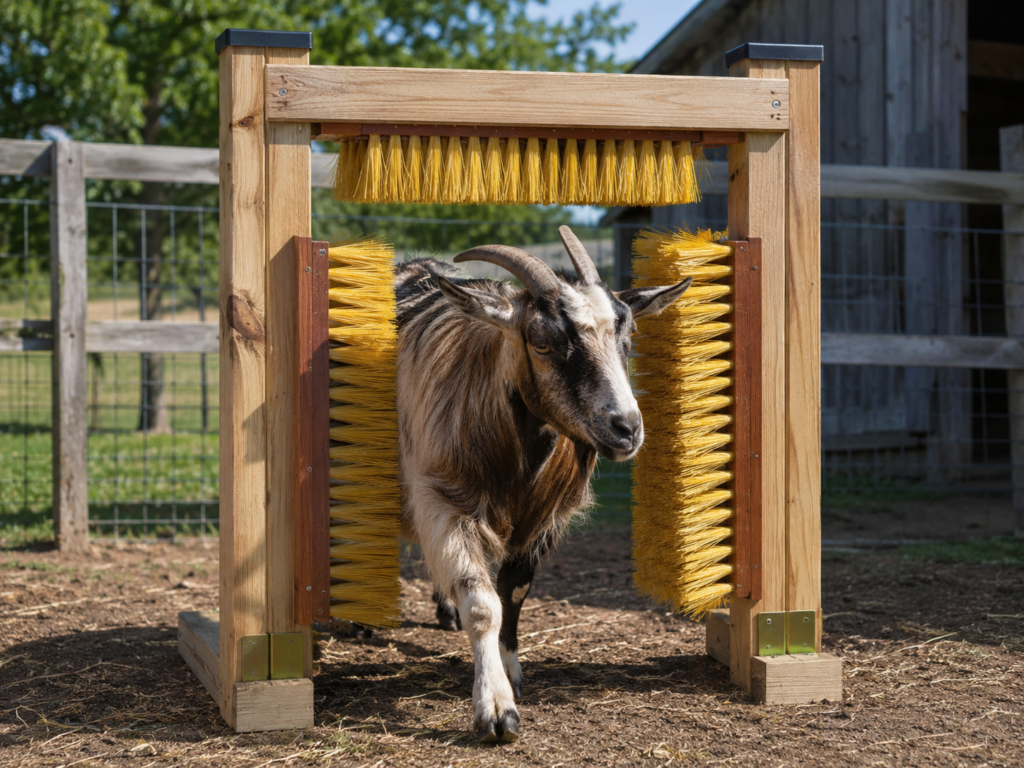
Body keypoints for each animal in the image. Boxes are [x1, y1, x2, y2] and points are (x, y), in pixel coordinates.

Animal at [395, 226, 691, 742]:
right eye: (541, 342)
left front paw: (511, 672)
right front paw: (496, 709)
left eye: (628, 335)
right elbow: (482, 603)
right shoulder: (443, 500)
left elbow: (513, 593)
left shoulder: (544, 516)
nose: (627, 428)